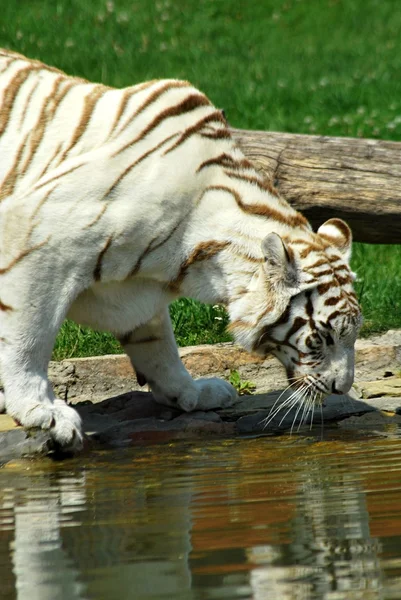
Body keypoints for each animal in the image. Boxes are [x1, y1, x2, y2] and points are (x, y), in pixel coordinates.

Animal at [0, 49, 360, 450]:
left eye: (353, 335)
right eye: (321, 338)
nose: (342, 387)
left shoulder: (134, 288)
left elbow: (158, 346)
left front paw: (192, 392)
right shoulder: (40, 235)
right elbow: (28, 336)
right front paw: (43, 412)